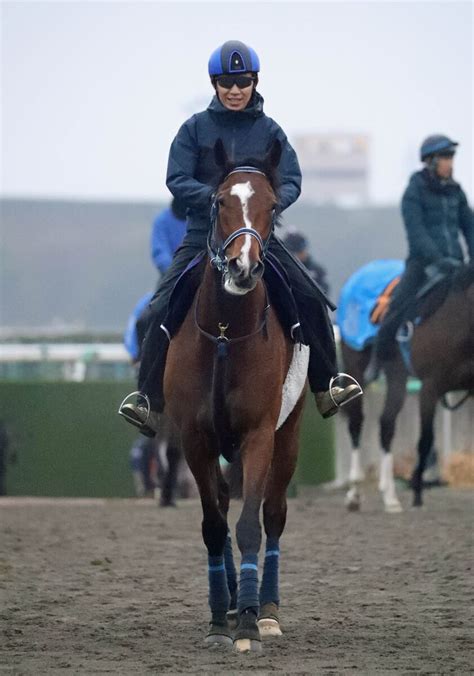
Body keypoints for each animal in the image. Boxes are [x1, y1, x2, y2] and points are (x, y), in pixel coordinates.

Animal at [165, 140, 310, 652]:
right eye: (218, 201)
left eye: (273, 205)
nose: (244, 268)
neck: (227, 333)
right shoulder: (195, 438)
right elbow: (213, 525)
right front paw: (218, 619)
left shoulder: (259, 434)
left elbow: (250, 525)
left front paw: (248, 622)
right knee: (225, 505)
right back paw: (228, 600)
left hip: (289, 436)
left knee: (275, 513)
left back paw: (265, 609)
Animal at [340, 262, 474, 510]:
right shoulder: (430, 386)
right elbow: (425, 440)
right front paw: (417, 490)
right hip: (356, 367)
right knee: (356, 423)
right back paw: (354, 493)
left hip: (396, 376)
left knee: (386, 425)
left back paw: (390, 495)